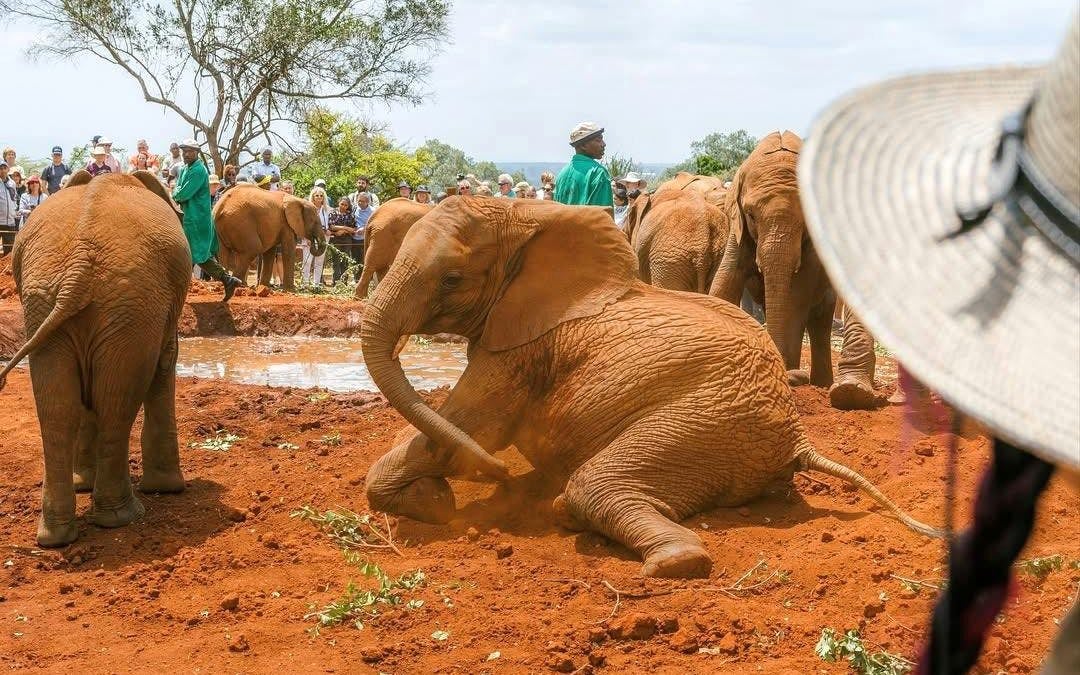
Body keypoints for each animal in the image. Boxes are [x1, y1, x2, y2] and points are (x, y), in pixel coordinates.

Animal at [0, 170, 191, 547]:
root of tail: (79, 263)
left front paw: (83, 485)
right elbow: (164, 364)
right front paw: (169, 490)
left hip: (51, 298)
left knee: (61, 406)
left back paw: (55, 538)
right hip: (132, 304)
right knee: (117, 400)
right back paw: (122, 518)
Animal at [361, 197, 938, 579]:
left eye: (452, 279)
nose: (498, 476)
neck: (528, 215)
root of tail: (799, 438)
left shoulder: (522, 351)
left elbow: (470, 424)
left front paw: (435, 503)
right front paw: (436, 498)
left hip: (709, 422)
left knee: (595, 485)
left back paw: (669, 559)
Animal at [709, 131, 837, 388]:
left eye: (806, 218)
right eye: (750, 215)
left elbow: (797, 298)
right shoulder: (738, 231)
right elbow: (726, 280)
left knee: (819, 322)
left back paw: (824, 386)